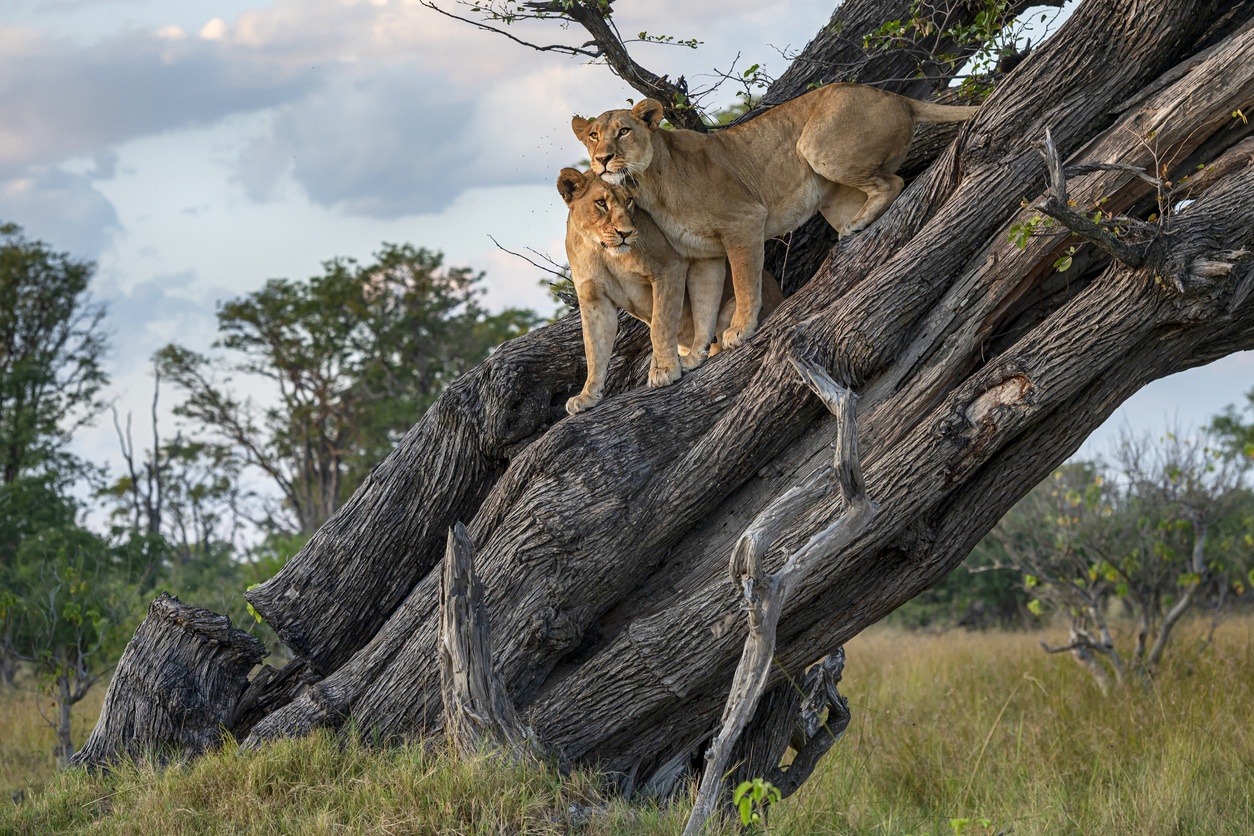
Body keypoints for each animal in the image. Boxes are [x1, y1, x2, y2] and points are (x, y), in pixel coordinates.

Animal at [561, 167, 782, 416]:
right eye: (600, 203)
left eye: (628, 201)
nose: (626, 233)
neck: (601, 250)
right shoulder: (594, 300)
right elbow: (594, 349)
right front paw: (588, 396)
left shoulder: (669, 268)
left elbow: (661, 325)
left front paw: (664, 369)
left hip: (729, 310)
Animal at [574, 81, 978, 350]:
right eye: (593, 136)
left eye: (623, 131)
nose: (602, 159)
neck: (648, 183)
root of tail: (896, 96)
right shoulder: (702, 253)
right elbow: (704, 302)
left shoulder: (744, 220)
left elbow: (744, 283)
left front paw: (740, 329)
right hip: (832, 196)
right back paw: (857, 225)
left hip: (817, 146)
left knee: (893, 181)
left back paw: (859, 224)